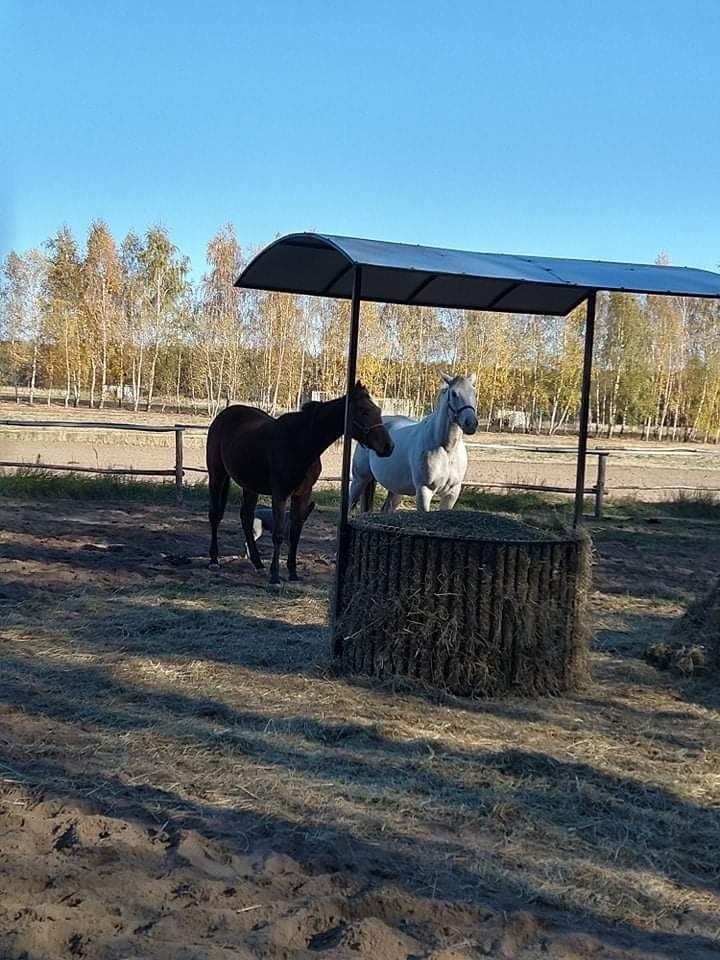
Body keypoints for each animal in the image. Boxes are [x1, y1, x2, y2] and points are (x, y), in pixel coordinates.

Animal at [205, 382, 390, 584]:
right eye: (363, 411)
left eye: (378, 410)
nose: (388, 446)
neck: (300, 444)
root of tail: (223, 415)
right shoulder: (280, 494)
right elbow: (278, 534)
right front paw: (275, 576)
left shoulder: (302, 494)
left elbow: (295, 533)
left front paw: (293, 573)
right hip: (217, 476)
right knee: (215, 514)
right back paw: (214, 560)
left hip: (250, 486)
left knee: (246, 517)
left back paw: (258, 564)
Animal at [350, 372, 478, 512]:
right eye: (454, 393)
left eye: (474, 392)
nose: (471, 423)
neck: (447, 449)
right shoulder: (424, 490)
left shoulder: (451, 494)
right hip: (360, 480)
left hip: (395, 489)